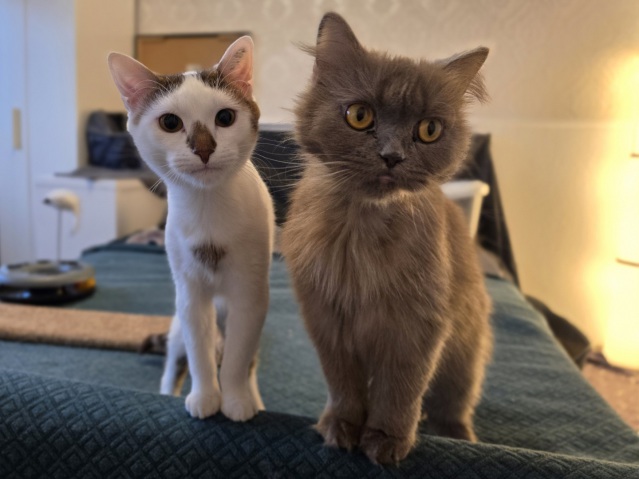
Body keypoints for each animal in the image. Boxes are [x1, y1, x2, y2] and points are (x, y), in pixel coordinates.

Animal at [108, 36, 274, 421]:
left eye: (225, 117)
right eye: (170, 122)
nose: (204, 148)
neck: (208, 207)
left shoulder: (250, 295)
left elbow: (239, 358)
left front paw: (236, 401)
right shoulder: (189, 293)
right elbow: (199, 354)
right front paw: (205, 397)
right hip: (176, 326)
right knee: (174, 362)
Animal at [280, 13, 493, 464]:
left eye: (429, 129)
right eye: (359, 115)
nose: (392, 156)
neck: (361, 232)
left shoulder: (417, 327)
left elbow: (400, 391)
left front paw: (386, 439)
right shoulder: (327, 321)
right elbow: (344, 386)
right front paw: (341, 427)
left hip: (466, 352)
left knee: (452, 403)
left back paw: (460, 435)